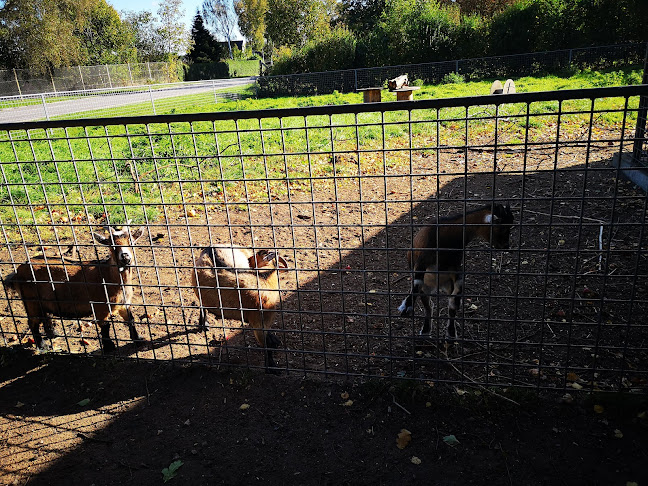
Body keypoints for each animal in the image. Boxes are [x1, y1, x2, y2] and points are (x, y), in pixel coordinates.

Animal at [3, 224, 145, 354]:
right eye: (111, 245)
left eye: (131, 241)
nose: (125, 256)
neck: (108, 276)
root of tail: (17, 273)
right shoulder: (101, 307)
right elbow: (105, 326)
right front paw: (109, 347)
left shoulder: (124, 304)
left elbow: (131, 320)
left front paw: (139, 340)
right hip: (31, 301)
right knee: (33, 322)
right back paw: (42, 346)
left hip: (42, 302)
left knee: (46, 317)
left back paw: (54, 334)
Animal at [398, 203, 512, 340]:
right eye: (503, 228)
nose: (506, 246)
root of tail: (437, 285)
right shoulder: (422, 261)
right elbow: (416, 283)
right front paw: (406, 306)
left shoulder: (455, 266)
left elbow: (459, 285)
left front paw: (456, 301)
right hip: (425, 287)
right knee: (428, 305)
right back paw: (425, 331)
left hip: (447, 285)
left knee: (444, 308)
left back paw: (451, 332)